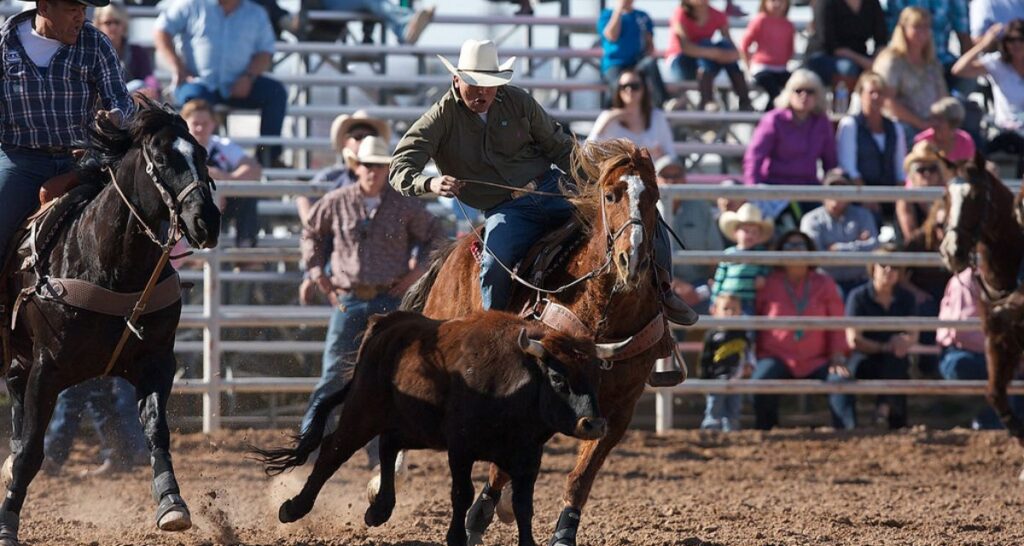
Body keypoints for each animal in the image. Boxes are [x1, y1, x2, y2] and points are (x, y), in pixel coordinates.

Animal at [1, 95, 218, 540]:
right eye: (160, 158)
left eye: (203, 154)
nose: (207, 220)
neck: (108, 262)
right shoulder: (46, 369)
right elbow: (32, 451)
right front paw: (8, 524)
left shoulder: (156, 361)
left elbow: (155, 430)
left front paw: (172, 502)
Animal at [395, 139, 667, 544]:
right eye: (611, 195)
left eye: (654, 197)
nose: (631, 259)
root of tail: (457, 249)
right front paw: (480, 515)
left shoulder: (619, 409)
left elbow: (581, 476)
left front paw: (562, 530)